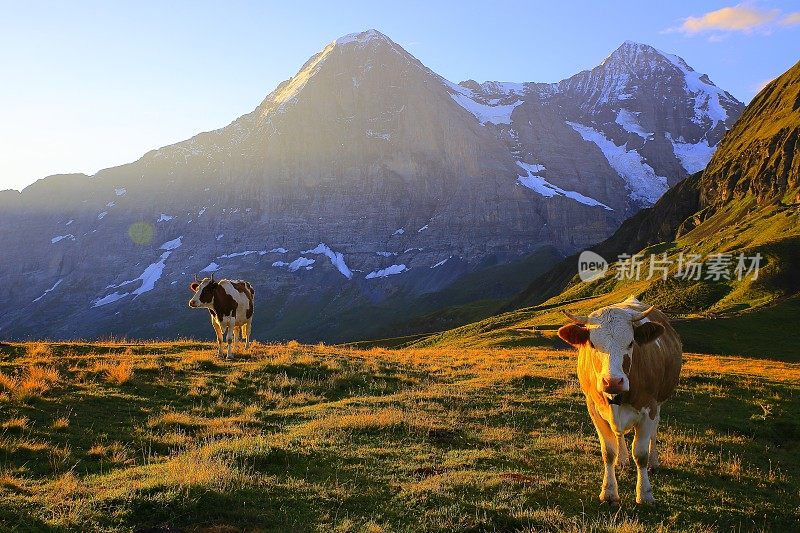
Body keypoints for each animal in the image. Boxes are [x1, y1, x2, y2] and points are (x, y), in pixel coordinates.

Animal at [556, 298, 680, 504]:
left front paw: (645, 493)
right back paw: (622, 460)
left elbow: (640, 454)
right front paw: (609, 492)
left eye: (630, 343)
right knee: (619, 434)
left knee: (654, 432)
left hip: (659, 403)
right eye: (592, 344)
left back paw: (654, 462)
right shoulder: (594, 409)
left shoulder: (649, 408)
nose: (613, 381)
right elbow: (608, 452)